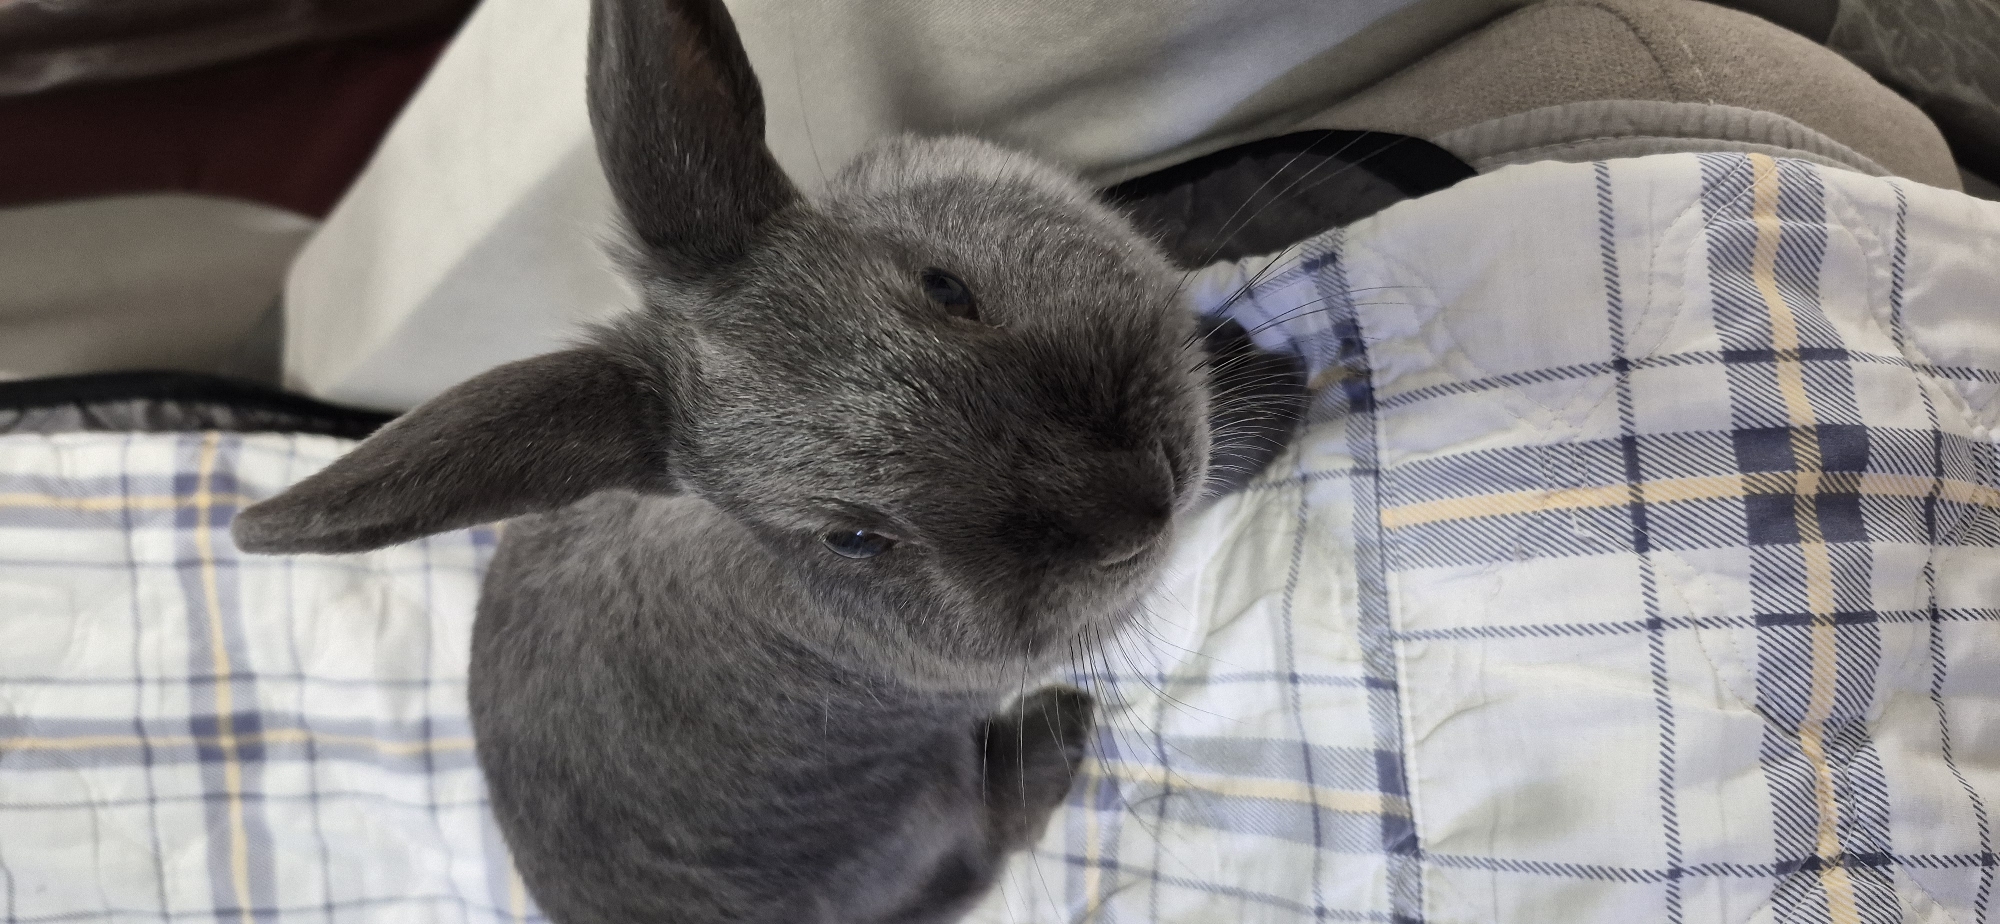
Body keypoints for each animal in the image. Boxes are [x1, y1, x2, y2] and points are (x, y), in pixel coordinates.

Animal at [230, 0, 1304, 920]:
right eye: (851, 539)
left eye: (944, 287)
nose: (1130, 507)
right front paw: (1279, 392)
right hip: (926, 804)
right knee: (984, 838)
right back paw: (1061, 729)